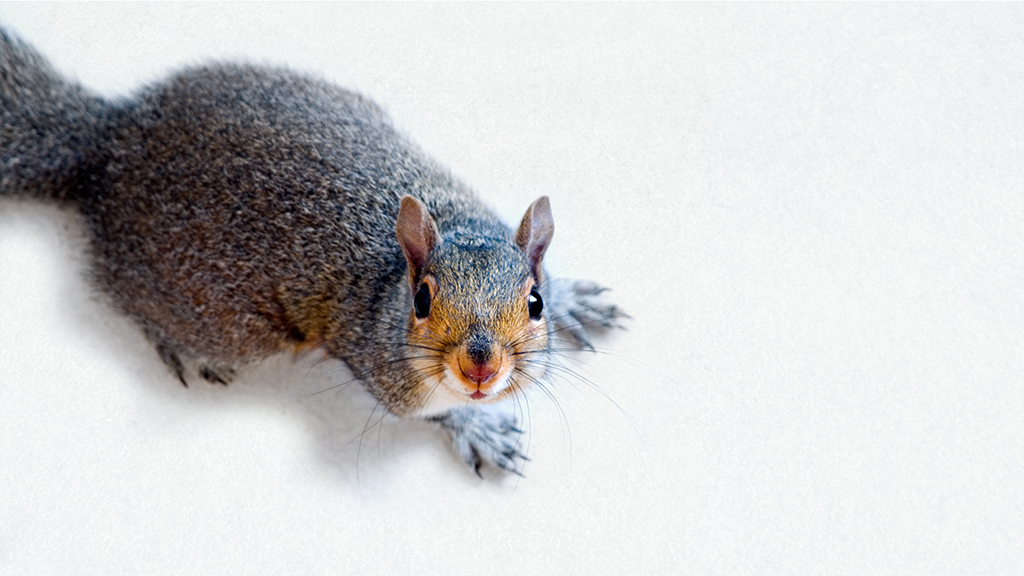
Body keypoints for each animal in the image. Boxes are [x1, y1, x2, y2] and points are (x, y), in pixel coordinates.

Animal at [1, 29, 625, 475]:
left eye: (534, 303)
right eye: (422, 302)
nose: (481, 367)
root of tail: (108, 142)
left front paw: (573, 300)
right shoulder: (384, 376)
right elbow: (435, 412)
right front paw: (477, 429)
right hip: (213, 316)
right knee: (123, 297)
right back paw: (181, 347)